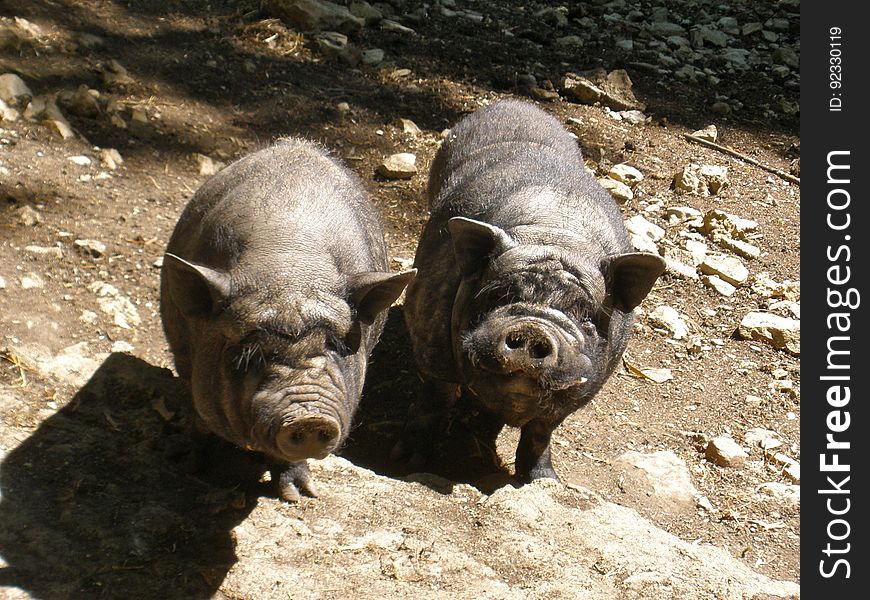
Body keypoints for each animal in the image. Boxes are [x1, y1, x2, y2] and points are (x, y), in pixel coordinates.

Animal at [161, 138, 418, 500]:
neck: (289, 265)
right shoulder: (185, 356)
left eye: (336, 345)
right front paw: (185, 465)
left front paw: (300, 495)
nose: (310, 419)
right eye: (251, 352)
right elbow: (198, 413)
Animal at [402, 99, 668, 482]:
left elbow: (540, 431)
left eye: (587, 317)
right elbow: (434, 402)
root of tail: (513, 103)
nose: (532, 329)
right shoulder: (429, 338)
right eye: (499, 295)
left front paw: (544, 480)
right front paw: (408, 463)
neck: (554, 233)